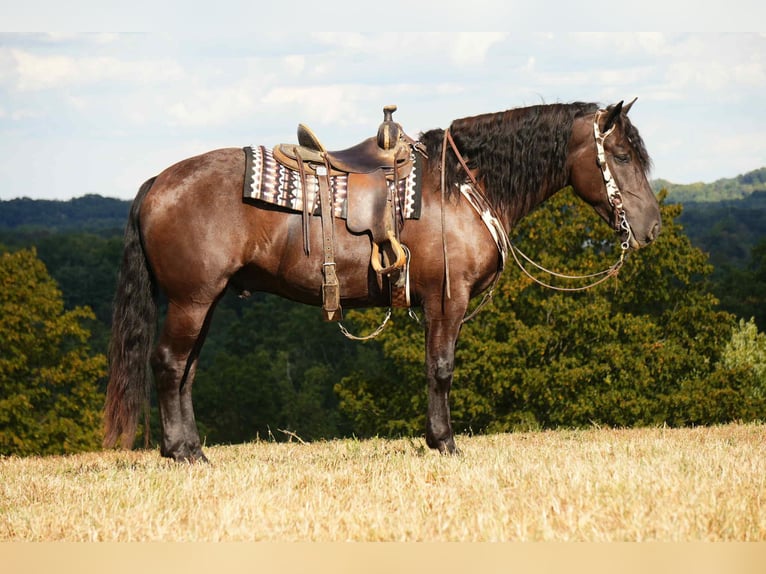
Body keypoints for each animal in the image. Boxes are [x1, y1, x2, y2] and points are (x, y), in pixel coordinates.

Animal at [104, 99, 661, 462]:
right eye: (622, 156)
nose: (651, 227)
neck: (461, 186)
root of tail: (158, 182)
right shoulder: (446, 302)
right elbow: (441, 369)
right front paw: (444, 442)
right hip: (191, 300)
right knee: (169, 364)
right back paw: (181, 452)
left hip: (206, 301)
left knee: (187, 370)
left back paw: (192, 448)